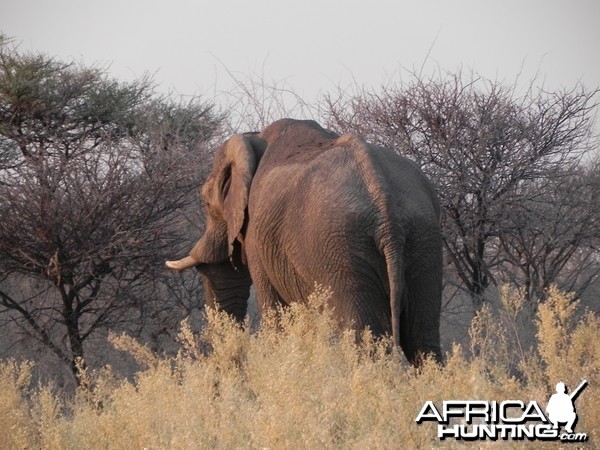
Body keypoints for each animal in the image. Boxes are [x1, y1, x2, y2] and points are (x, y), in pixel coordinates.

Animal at [166, 118, 442, 364]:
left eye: (205, 202)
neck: (254, 139)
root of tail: (385, 202)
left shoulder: (258, 237)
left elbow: (277, 316)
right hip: (423, 238)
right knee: (422, 338)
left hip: (340, 249)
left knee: (364, 338)